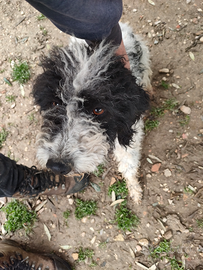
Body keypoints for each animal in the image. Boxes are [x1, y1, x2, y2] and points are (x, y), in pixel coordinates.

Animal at [32, 23, 151, 204]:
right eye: (55, 103)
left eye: (98, 110)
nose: (57, 166)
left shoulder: (128, 135)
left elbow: (128, 164)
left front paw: (135, 190)